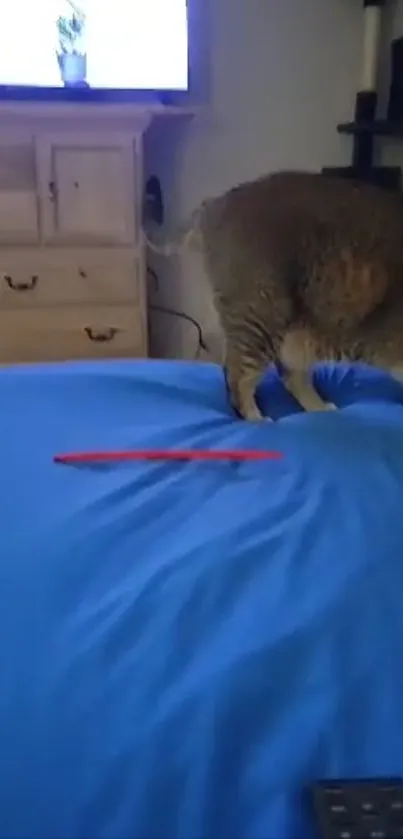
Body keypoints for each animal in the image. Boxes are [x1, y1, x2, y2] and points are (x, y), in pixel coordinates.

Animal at [189, 171, 403, 420]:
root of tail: (215, 203)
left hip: (295, 334)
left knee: (290, 376)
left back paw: (318, 409)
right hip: (260, 314)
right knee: (237, 374)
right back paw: (256, 419)